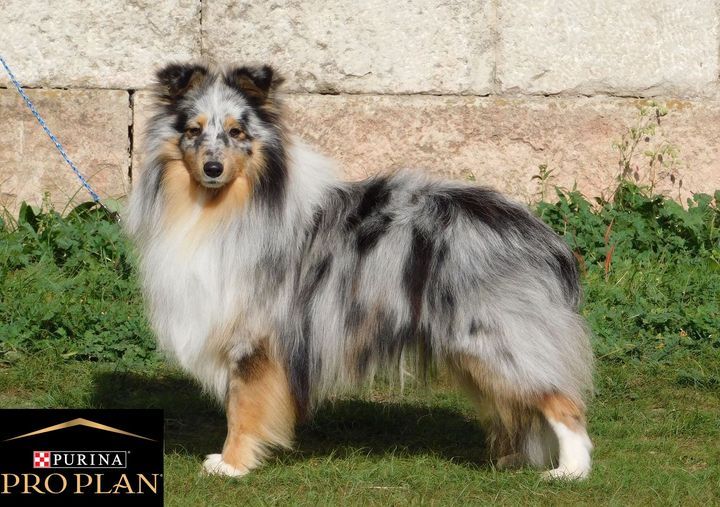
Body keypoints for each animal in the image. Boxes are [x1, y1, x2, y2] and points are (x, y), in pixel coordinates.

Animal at [126, 62, 594, 480]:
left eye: (237, 133)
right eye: (193, 131)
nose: (213, 168)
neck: (221, 208)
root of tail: (539, 233)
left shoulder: (254, 337)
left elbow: (241, 408)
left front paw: (232, 464)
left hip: (495, 337)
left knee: (563, 402)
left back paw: (570, 471)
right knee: (517, 405)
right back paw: (511, 460)